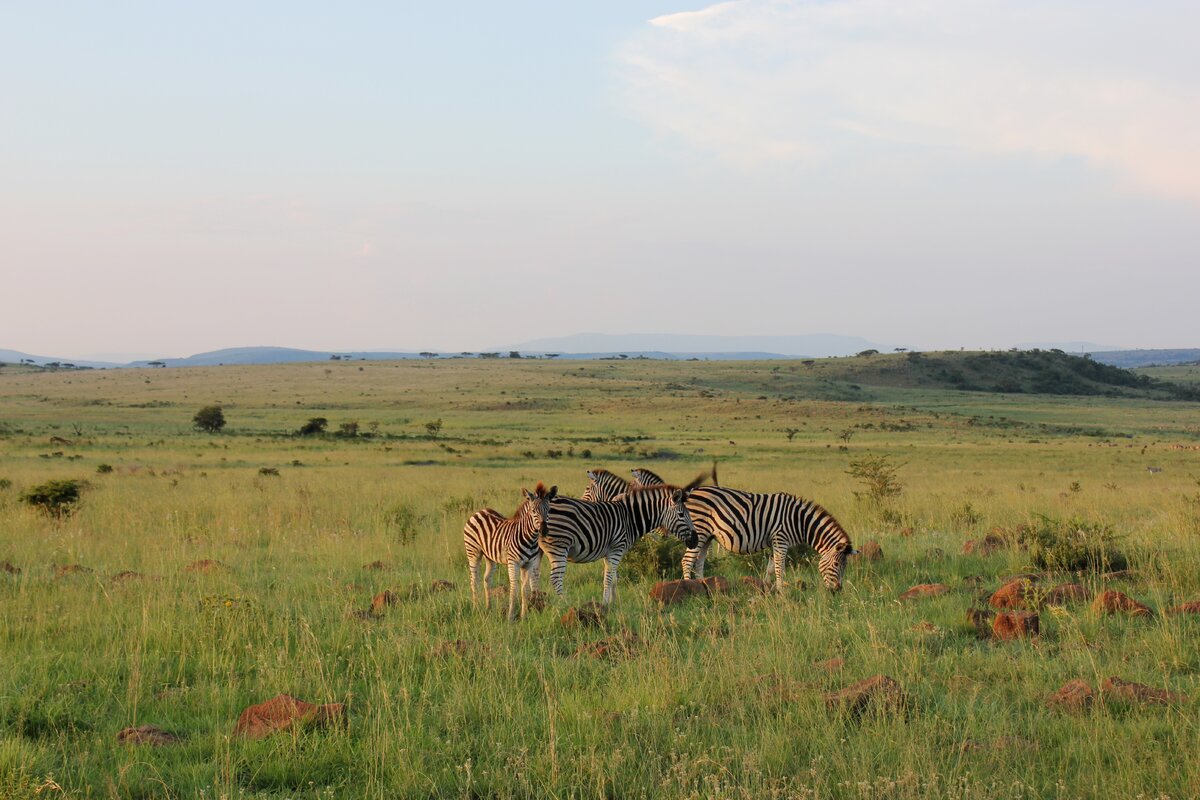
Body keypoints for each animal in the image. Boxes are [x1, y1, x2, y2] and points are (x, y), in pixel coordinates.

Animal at [463, 482, 556, 618]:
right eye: (533, 511)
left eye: (548, 510)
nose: (544, 531)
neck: (530, 538)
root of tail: (480, 511)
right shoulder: (513, 563)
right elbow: (514, 588)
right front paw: (510, 616)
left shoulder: (528, 564)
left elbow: (525, 590)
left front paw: (524, 616)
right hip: (473, 552)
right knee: (474, 580)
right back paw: (476, 609)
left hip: (489, 556)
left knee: (487, 579)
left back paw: (488, 608)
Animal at [537, 482, 700, 606]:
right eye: (681, 515)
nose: (696, 540)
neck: (630, 518)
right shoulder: (617, 549)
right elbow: (609, 578)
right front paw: (605, 604)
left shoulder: (609, 552)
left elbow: (614, 578)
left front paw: (614, 602)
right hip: (559, 547)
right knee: (555, 578)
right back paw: (564, 603)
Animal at [681, 484, 859, 592]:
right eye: (836, 564)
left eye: (845, 566)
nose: (837, 590)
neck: (799, 521)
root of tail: (692, 492)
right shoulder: (781, 539)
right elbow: (780, 568)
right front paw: (781, 592)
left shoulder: (776, 542)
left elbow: (770, 568)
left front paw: (767, 589)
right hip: (699, 532)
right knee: (687, 560)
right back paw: (691, 588)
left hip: (707, 536)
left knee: (698, 563)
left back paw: (705, 588)